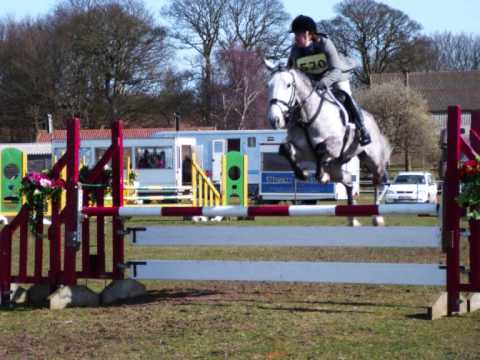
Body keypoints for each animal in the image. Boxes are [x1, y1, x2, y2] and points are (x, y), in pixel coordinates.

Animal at [264, 62, 392, 225]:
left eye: (288, 85)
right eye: (268, 85)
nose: (274, 120)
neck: (307, 117)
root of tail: (373, 120)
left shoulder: (334, 145)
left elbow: (321, 149)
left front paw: (322, 175)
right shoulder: (303, 151)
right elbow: (285, 148)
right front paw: (302, 174)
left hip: (372, 159)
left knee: (378, 181)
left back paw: (377, 217)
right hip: (340, 169)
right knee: (349, 181)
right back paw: (352, 219)